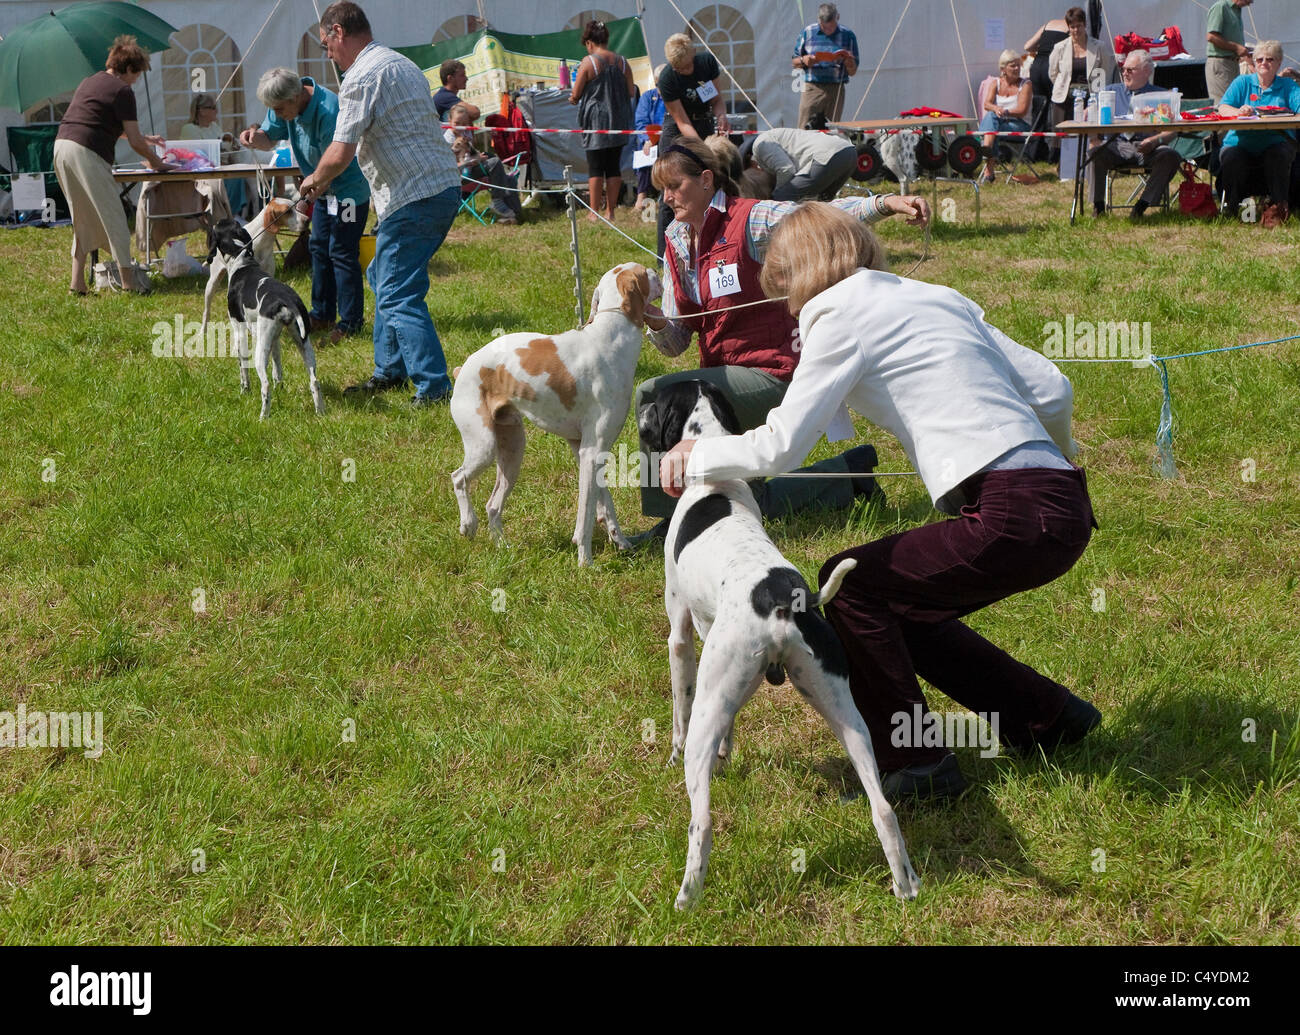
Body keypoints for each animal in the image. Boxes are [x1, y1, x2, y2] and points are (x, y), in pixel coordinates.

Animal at [206, 219, 323, 421]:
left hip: (260, 352)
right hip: (303, 343)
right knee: (314, 382)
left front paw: (244, 391)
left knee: (265, 386)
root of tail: (286, 300)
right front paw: (280, 388)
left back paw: (263, 417)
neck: (242, 262)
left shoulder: (239, 332)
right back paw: (320, 412)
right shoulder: (275, 340)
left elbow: (243, 370)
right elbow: (278, 370)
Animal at [452, 261, 665, 566]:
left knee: (493, 504)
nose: (659, 272)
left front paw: (620, 541)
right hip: (484, 447)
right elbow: (585, 516)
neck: (609, 338)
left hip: (512, 452)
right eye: (644, 271)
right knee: (458, 478)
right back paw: (468, 524)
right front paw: (585, 561)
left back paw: (503, 548)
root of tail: (463, 368)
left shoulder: (588, 450)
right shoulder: (590, 452)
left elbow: (605, 506)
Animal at [634, 379, 920, 904]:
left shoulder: (681, 637)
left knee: (703, 823)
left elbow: (678, 712)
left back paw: (686, 901)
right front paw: (727, 756)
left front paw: (672, 753)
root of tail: (783, 597)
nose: (636, 410)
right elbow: (730, 730)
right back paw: (905, 884)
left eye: (655, 401)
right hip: (846, 715)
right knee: (883, 808)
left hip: (715, 707)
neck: (714, 481)